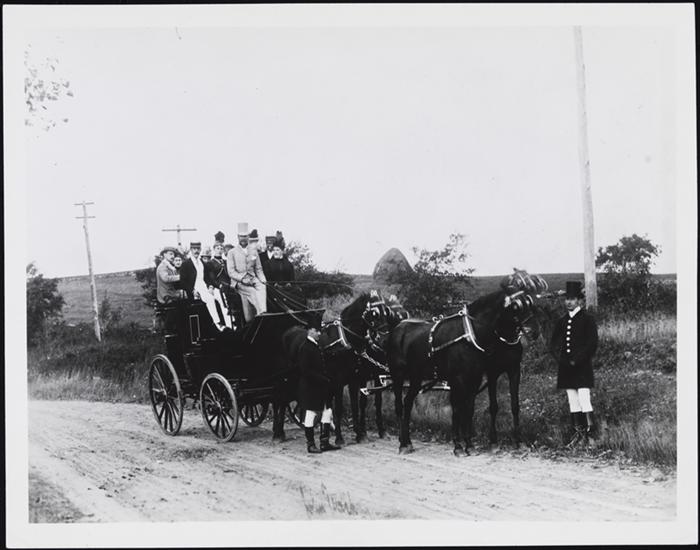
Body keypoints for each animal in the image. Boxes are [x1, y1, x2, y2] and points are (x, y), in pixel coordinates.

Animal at [386, 269, 547, 456]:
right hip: (398, 375)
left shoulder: (481, 376)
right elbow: (458, 409)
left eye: (530, 302)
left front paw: (470, 444)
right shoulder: (461, 378)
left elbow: (470, 408)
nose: (535, 331)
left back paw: (408, 441)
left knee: (408, 402)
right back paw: (402, 442)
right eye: (515, 306)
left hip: (416, 377)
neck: (470, 335)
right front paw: (459, 446)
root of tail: (398, 327)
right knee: (399, 405)